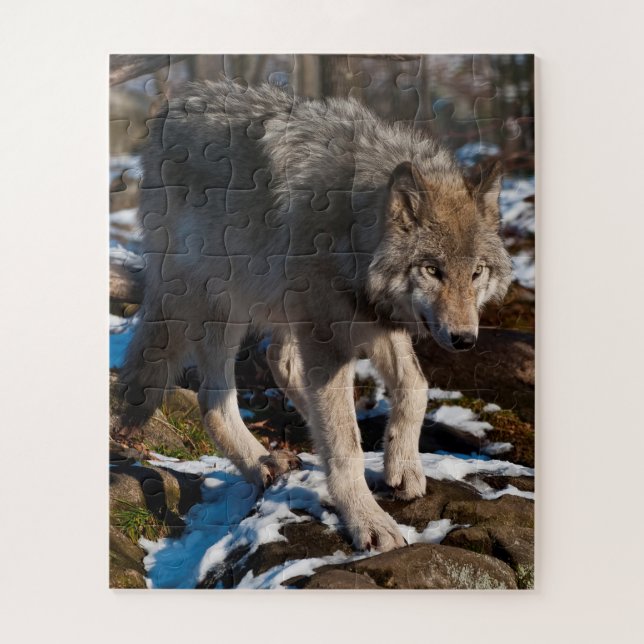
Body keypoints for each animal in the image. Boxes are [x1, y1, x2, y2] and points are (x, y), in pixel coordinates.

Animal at [119, 80, 512, 551]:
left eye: (476, 272)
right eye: (433, 270)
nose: (464, 339)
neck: (351, 229)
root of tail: (174, 106)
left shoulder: (376, 320)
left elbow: (415, 387)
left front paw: (403, 466)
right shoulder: (330, 335)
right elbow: (345, 445)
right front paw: (367, 521)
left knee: (280, 362)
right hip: (223, 304)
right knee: (214, 400)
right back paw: (262, 462)